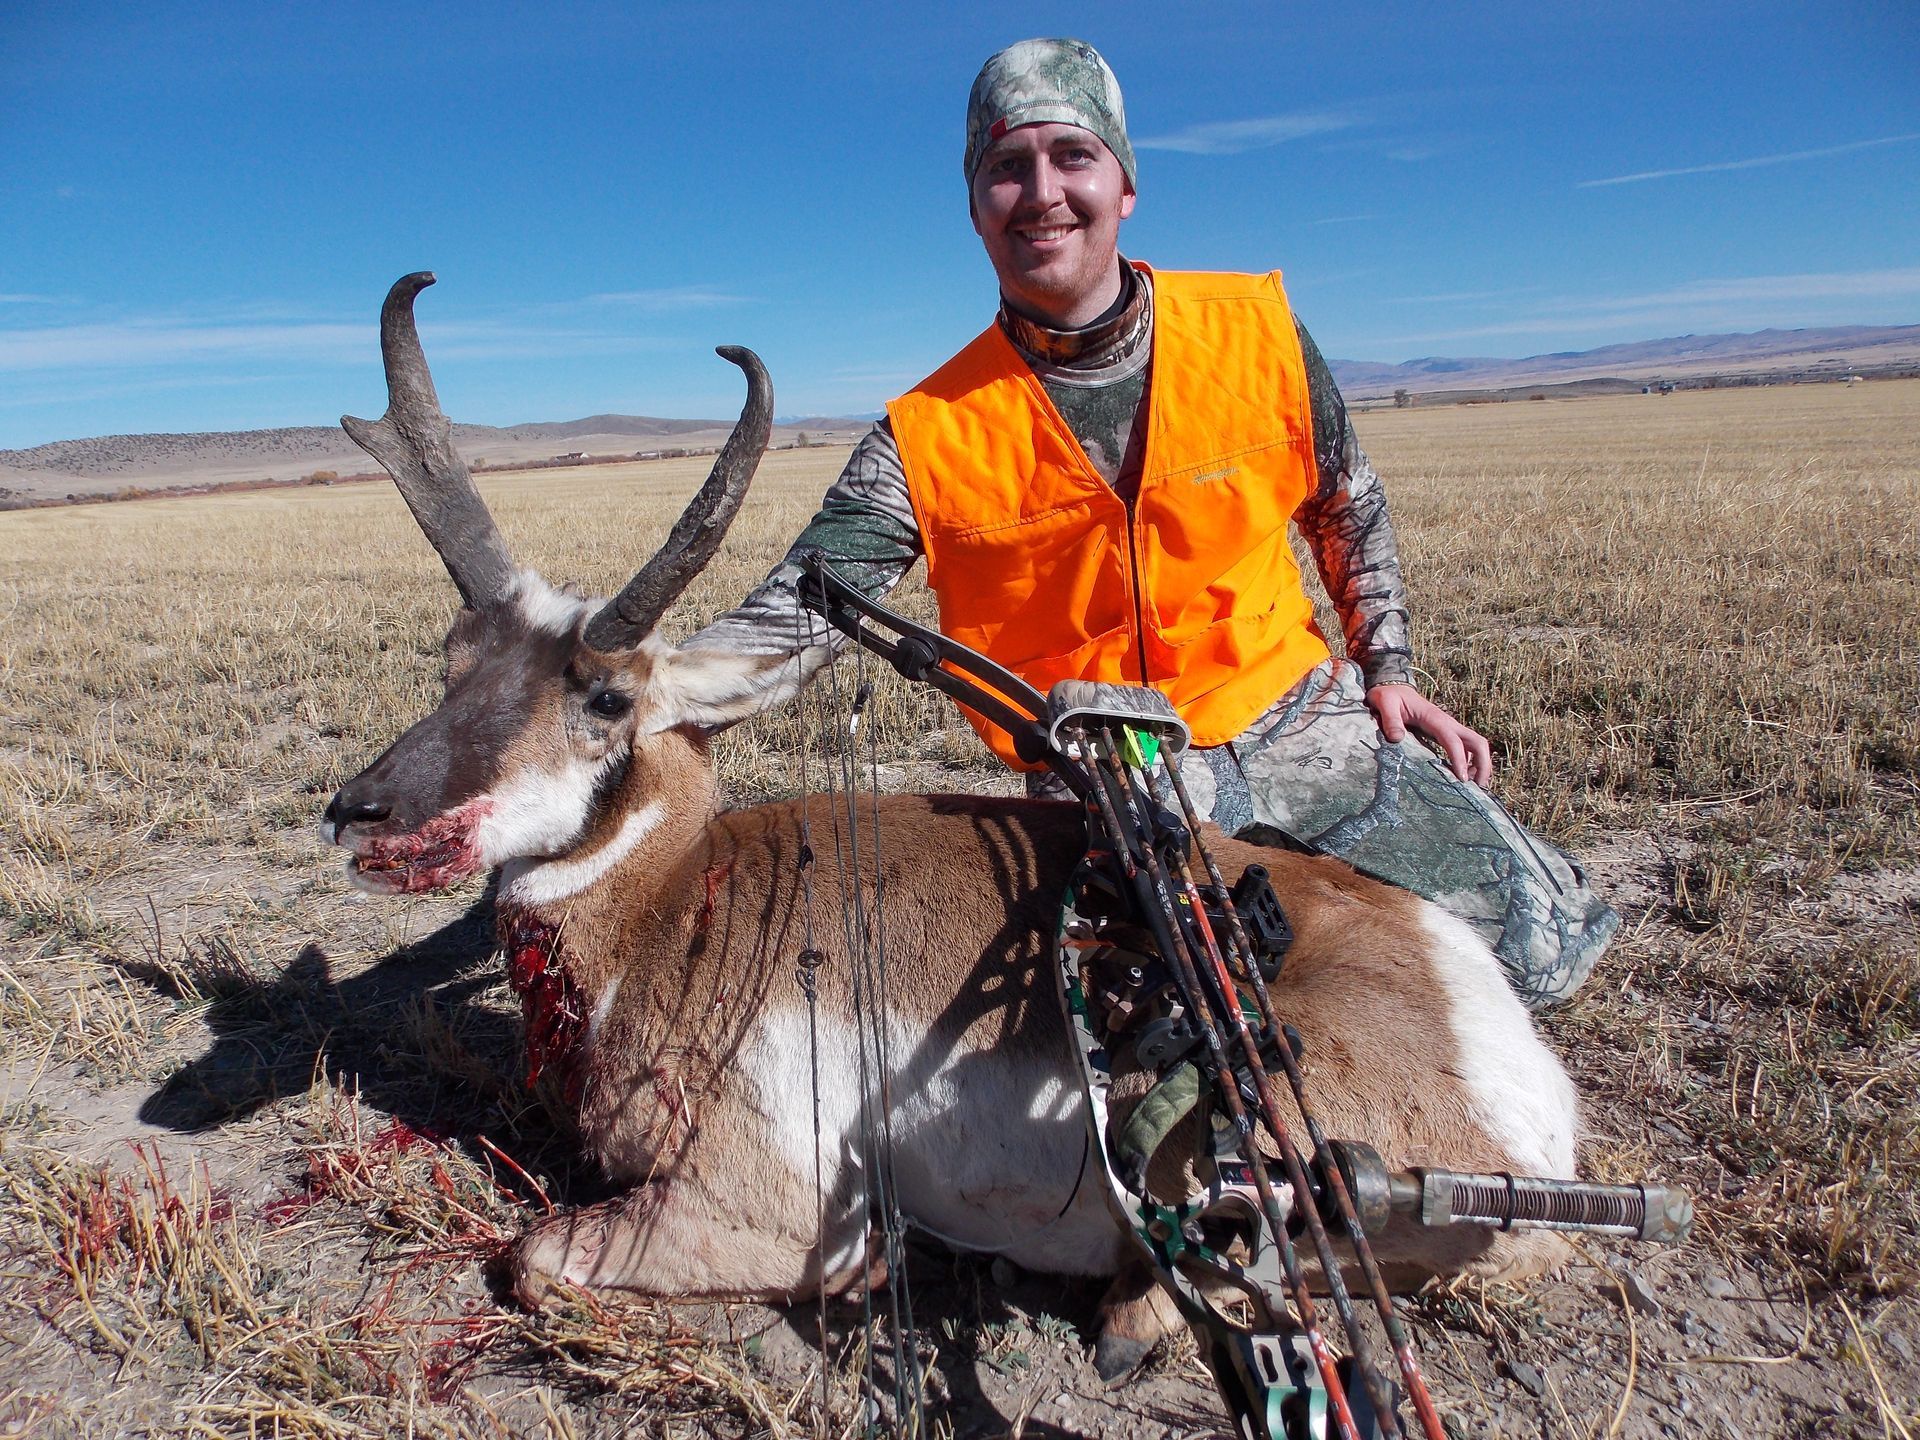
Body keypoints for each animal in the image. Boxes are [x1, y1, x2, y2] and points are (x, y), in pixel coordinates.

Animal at [324, 274, 1577, 1374]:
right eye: (452, 662)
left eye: (604, 698)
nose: (358, 812)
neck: (679, 911)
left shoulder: (764, 1211)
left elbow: (529, 1257)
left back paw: (1133, 1314)